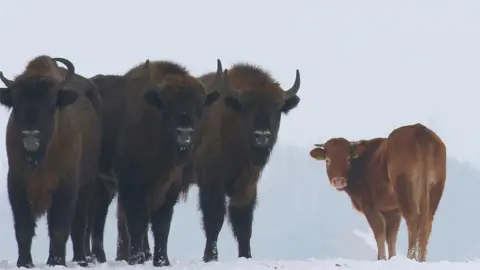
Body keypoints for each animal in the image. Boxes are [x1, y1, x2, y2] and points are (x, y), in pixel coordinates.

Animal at [0, 55, 103, 268]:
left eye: (51, 102)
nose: (31, 136)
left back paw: (80, 259)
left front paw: (58, 262)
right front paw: (24, 263)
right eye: (16, 102)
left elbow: (60, 228)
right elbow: (23, 228)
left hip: (86, 186)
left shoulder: (66, 185)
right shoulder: (16, 184)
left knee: (79, 224)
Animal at [190, 62, 300, 262]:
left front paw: (246, 257)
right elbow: (214, 219)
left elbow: (243, 224)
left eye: (278, 106)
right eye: (247, 105)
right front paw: (210, 257)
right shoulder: (211, 181)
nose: (262, 136)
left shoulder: (247, 184)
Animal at [310, 124, 448, 262]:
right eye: (327, 160)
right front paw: (392, 258)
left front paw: (381, 258)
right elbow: (391, 236)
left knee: (413, 218)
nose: (339, 181)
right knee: (427, 221)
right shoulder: (393, 210)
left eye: (348, 158)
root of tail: (419, 130)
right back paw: (421, 260)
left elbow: (379, 231)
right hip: (435, 188)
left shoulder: (370, 205)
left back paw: (410, 257)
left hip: (404, 187)